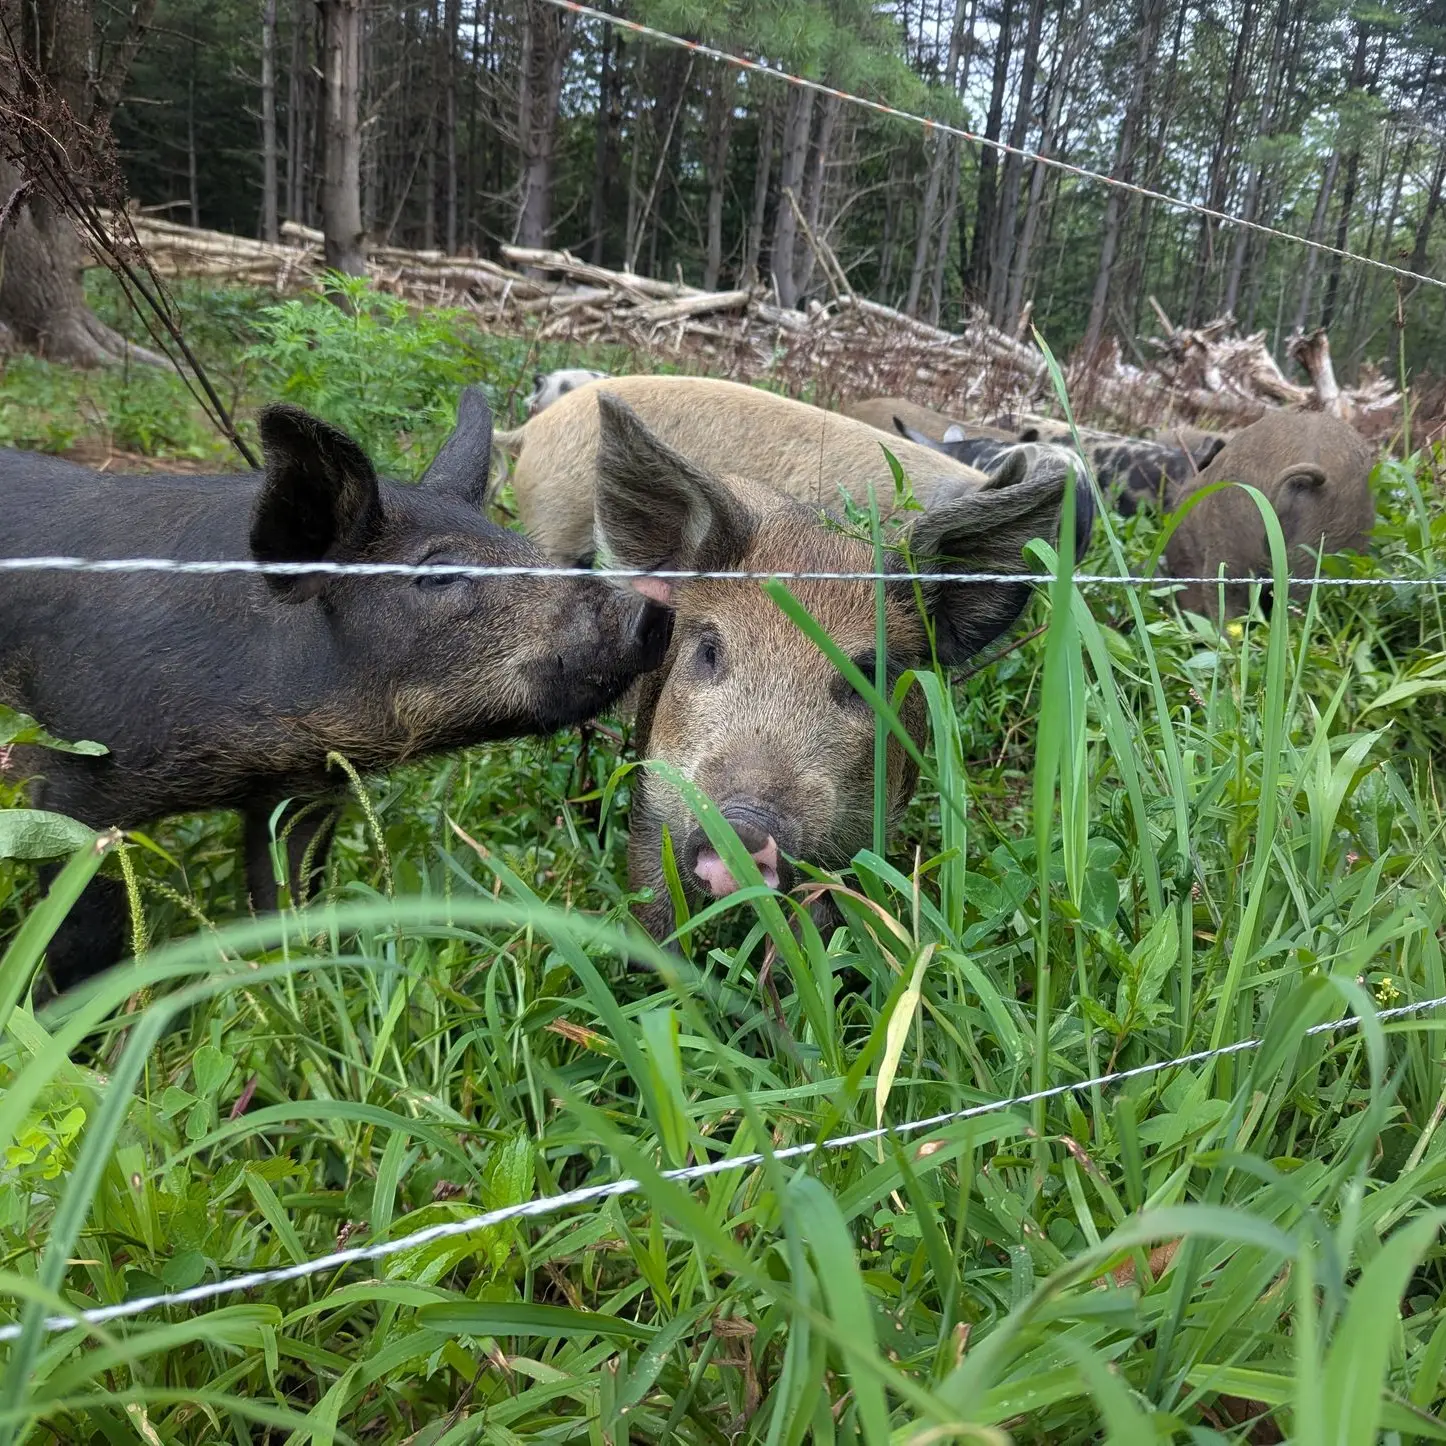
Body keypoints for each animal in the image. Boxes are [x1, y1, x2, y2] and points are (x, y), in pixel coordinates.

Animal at [0, 387, 672, 989]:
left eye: (524, 545)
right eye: (439, 571)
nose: (651, 611)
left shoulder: (301, 794)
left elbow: (288, 897)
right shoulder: (68, 790)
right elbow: (81, 940)